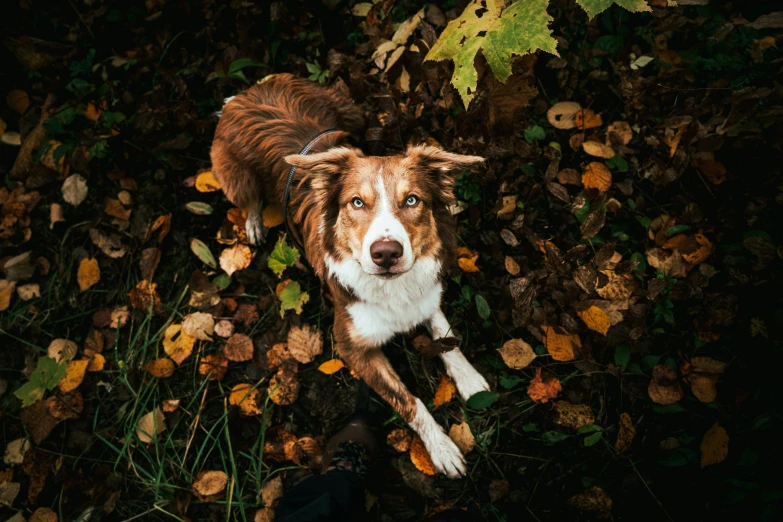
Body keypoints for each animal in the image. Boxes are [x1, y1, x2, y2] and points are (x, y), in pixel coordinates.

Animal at [210, 73, 490, 476]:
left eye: (412, 200)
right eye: (356, 203)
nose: (386, 253)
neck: (393, 292)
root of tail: (244, 96)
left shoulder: (425, 295)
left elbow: (444, 332)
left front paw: (469, 379)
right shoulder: (352, 346)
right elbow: (409, 401)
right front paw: (441, 448)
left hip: (351, 111)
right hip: (235, 179)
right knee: (249, 200)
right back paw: (254, 223)